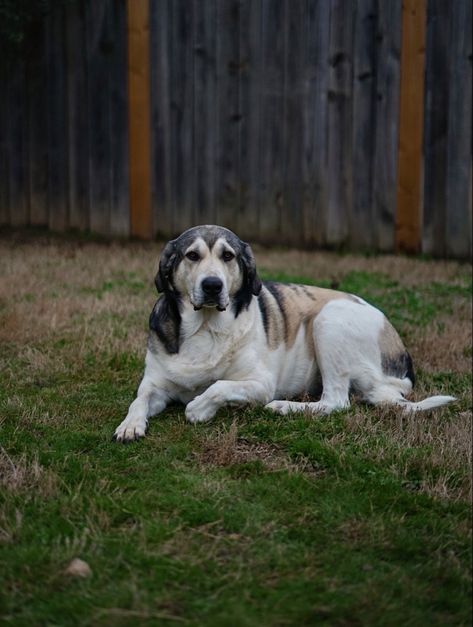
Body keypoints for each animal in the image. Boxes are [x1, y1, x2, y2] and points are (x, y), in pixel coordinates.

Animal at [113, 226, 454, 442]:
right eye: (191, 256)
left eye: (228, 256)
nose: (212, 285)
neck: (205, 326)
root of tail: (402, 368)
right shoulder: (155, 384)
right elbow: (139, 400)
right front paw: (129, 426)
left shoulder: (260, 384)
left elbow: (217, 387)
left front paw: (198, 409)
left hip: (329, 319)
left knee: (336, 401)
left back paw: (285, 407)